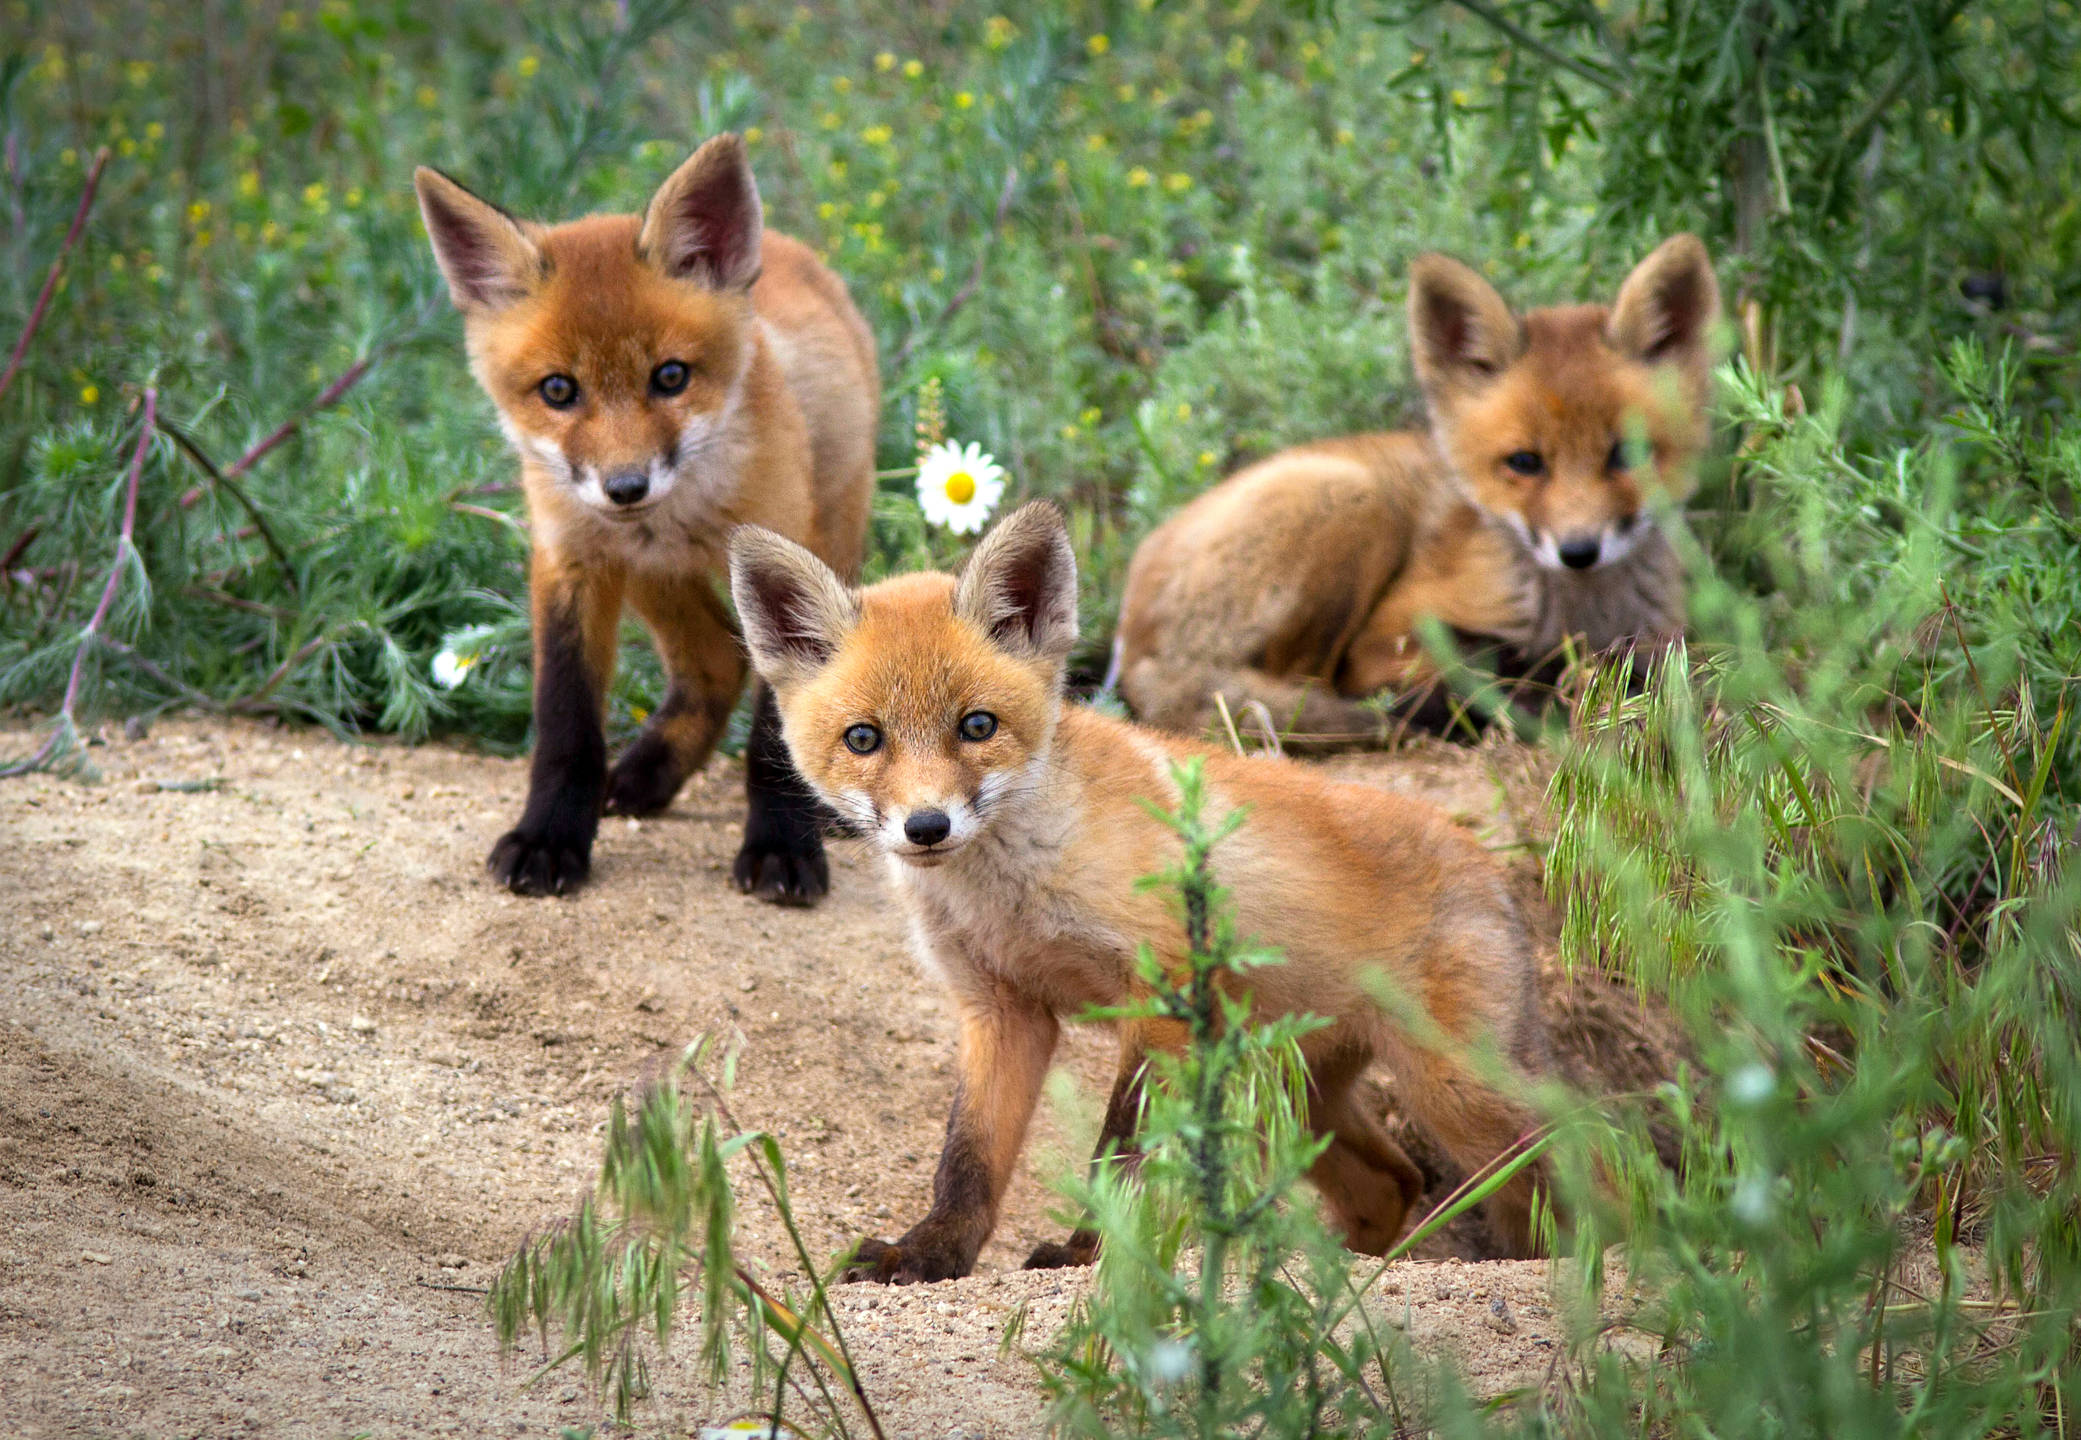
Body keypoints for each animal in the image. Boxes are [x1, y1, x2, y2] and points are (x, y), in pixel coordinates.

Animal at [414, 135, 878, 901]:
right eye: (558, 390)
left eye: (671, 377)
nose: (625, 487)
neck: (679, 514)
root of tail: (787, 249)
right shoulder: (570, 557)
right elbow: (565, 723)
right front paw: (549, 837)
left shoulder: (781, 556)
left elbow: (773, 738)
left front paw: (782, 846)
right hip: (651, 579)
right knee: (715, 662)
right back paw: (645, 771)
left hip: (832, 530)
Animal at [728, 501, 1551, 1284]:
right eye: (864, 739)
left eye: (977, 726)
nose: (926, 826)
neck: (1009, 895)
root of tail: (1482, 856)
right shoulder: (1001, 1009)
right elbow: (968, 1160)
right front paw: (931, 1252)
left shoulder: (1161, 993)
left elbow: (1119, 1154)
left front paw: (1088, 1252)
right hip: (1297, 1092)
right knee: (1395, 1181)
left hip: (1453, 1089)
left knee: (1564, 1155)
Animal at [1115, 235, 1720, 746]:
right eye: (1525, 463)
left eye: (1627, 455)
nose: (1578, 551)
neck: (1581, 615)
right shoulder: (1380, 643)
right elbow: (1475, 658)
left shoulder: (1663, 635)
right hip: (1354, 501)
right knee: (1305, 686)